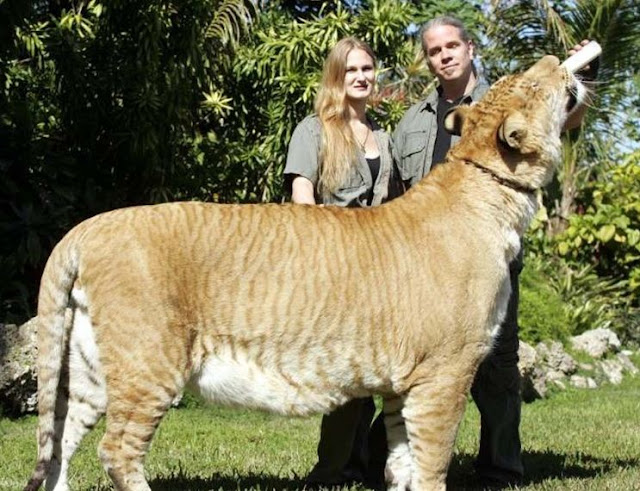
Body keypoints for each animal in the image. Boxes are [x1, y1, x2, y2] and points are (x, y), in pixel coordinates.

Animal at [24, 55, 587, 491]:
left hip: (91, 367)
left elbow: (401, 462)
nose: (556, 60)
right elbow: (431, 462)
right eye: (532, 84)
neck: (487, 188)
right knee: (117, 450)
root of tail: (86, 229)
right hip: (148, 362)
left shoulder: (401, 385)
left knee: (62, 438)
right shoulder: (445, 371)